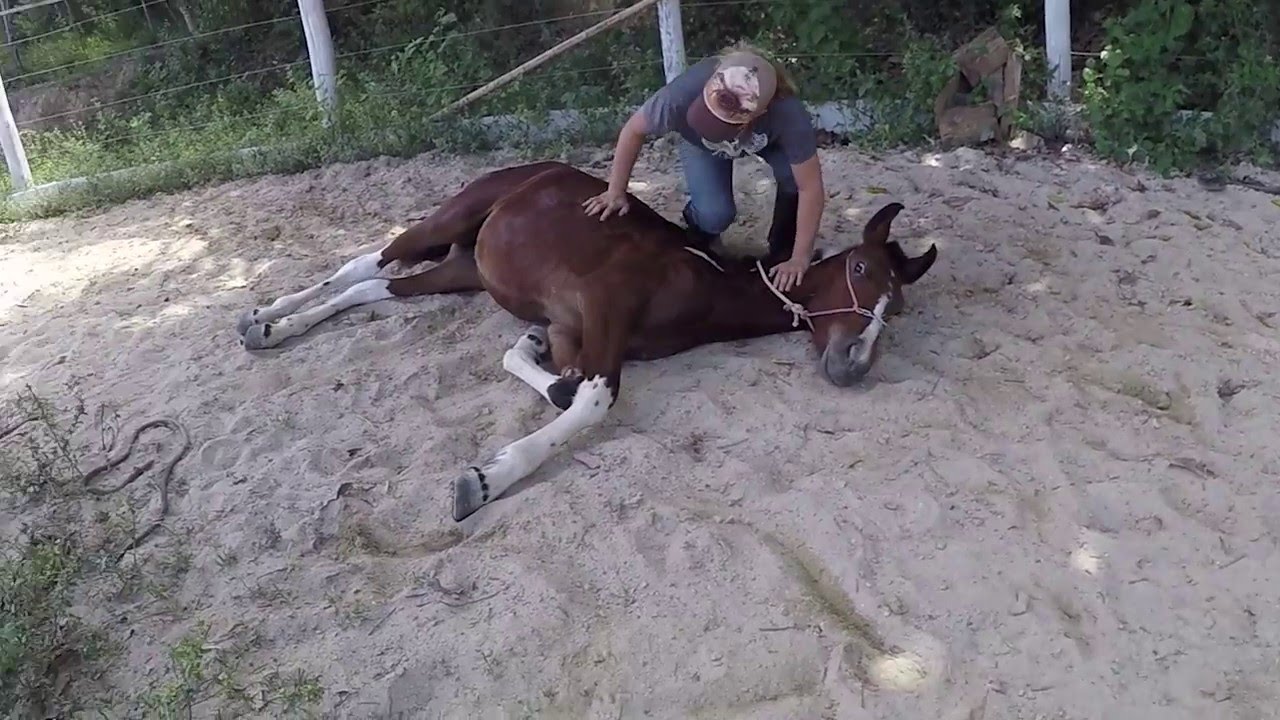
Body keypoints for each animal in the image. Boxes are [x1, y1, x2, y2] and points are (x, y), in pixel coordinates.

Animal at [238, 159, 942, 517]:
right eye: (860, 271)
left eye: (898, 306)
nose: (852, 364)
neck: (701, 279)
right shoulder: (601, 311)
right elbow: (593, 399)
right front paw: (484, 480)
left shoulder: (572, 329)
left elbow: (543, 370)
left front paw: (545, 376)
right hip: (450, 222)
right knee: (369, 260)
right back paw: (267, 317)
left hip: (466, 268)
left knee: (376, 288)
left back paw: (273, 326)